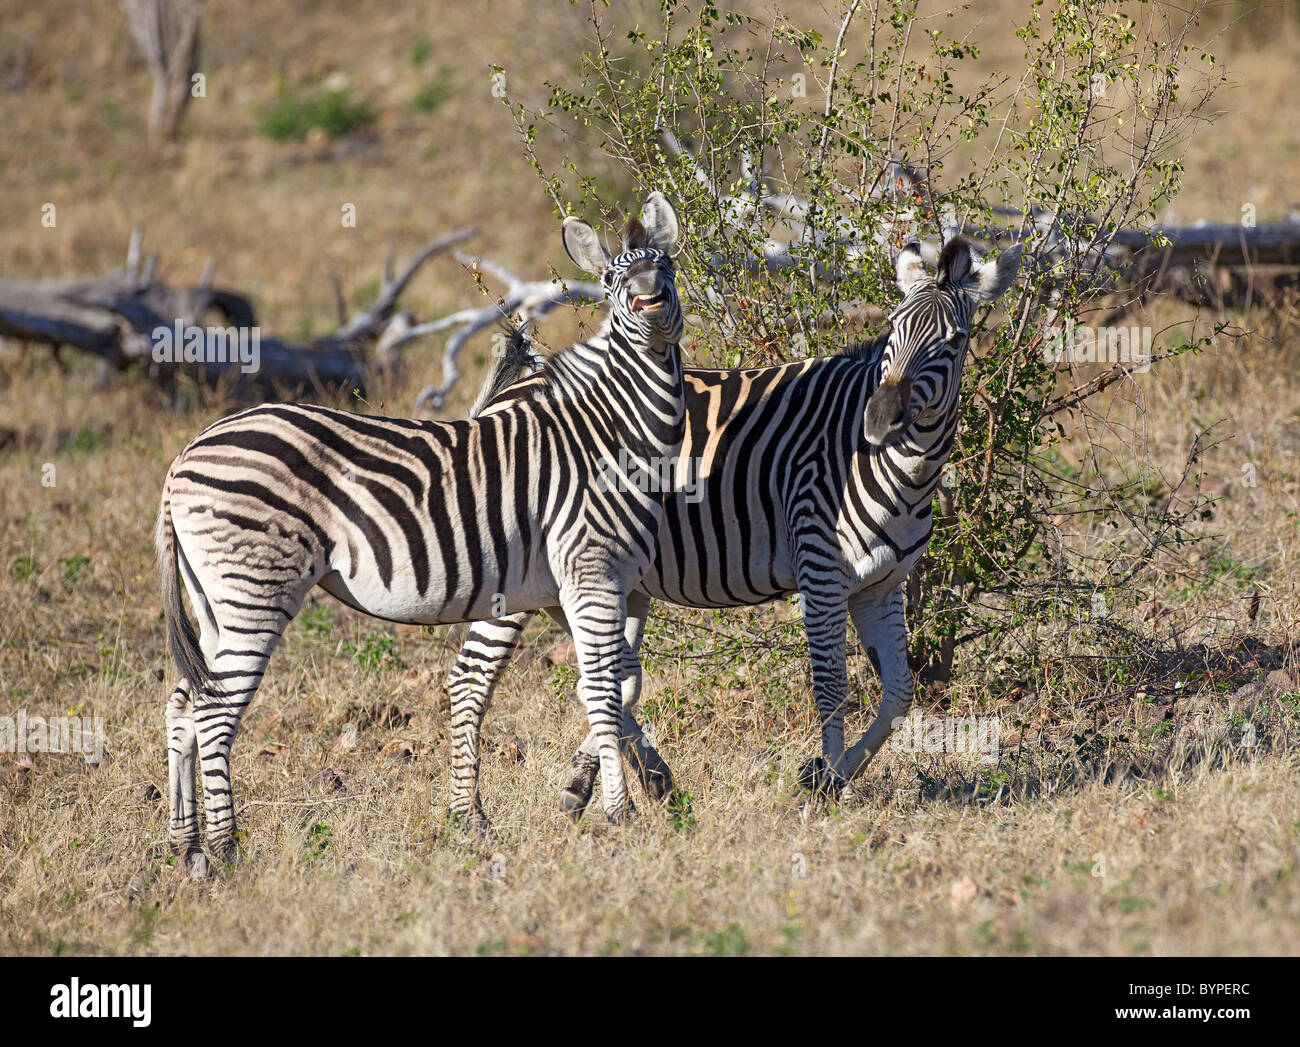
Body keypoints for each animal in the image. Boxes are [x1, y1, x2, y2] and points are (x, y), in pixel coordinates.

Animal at [156, 193, 686, 864]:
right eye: (616, 282)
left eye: (665, 268)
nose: (650, 301)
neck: (613, 432)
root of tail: (185, 455)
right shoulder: (590, 575)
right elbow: (600, 690)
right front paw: (619, 813)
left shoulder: (593, 589)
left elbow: (624, 684)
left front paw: (627, 787)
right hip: (255, 589)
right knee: (215, 711)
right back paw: (225, 850)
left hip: (212, 596)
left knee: (183, 701)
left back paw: (186, 846)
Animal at [446, 235, 1022, 821]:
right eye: (893, 328)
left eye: (955, 342)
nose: (878, 421)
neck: (897, 470)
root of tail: (519, 387)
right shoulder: (821, 572)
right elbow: (832, 685)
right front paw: (826, 784)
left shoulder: (881, 586)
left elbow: (900, 693)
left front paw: (831, 776)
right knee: (472, 679)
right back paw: (468, 817)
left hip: (580, 583)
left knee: (602, 678)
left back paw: (623, 782)